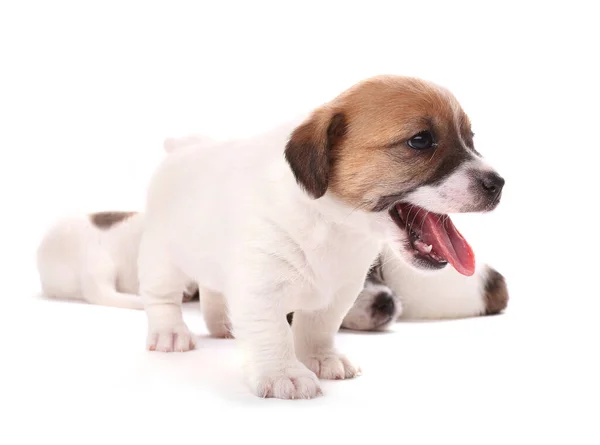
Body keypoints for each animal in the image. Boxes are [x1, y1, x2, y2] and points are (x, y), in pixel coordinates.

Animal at [138, 73, 504, 398]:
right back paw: (170, 333)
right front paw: (283, 373)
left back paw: (221, 325)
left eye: (471, 139)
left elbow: (318, 326)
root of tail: (180, 149)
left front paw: (320, 358)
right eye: (420, 140)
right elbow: (272, 332)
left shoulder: (339, 292)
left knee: (213, 292)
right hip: (161, 261)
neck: (335, 224)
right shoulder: (262, 288)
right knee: (162, 299)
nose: (499, 184)